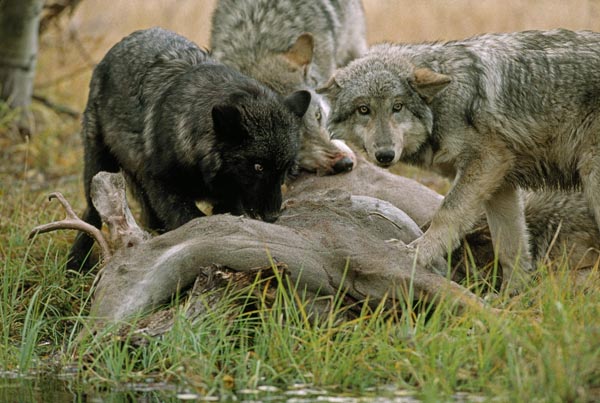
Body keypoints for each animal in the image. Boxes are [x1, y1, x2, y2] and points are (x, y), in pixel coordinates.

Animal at [71, 26, 312, 270]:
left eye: (285, 170)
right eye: (258, 167)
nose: (273, 216)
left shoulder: (230, 198)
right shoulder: (162, 186)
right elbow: (192, 223)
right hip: (99, 169)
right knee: (91, 215)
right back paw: (75, 264)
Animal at [322, 29, 600, 294]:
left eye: (397, 107)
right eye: (363, 110)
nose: (385, 155)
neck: (443, 102)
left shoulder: (485, 162)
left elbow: (446, 213)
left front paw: (414, 254)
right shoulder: (500, 183)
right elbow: (510, 246)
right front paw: (511, 297)